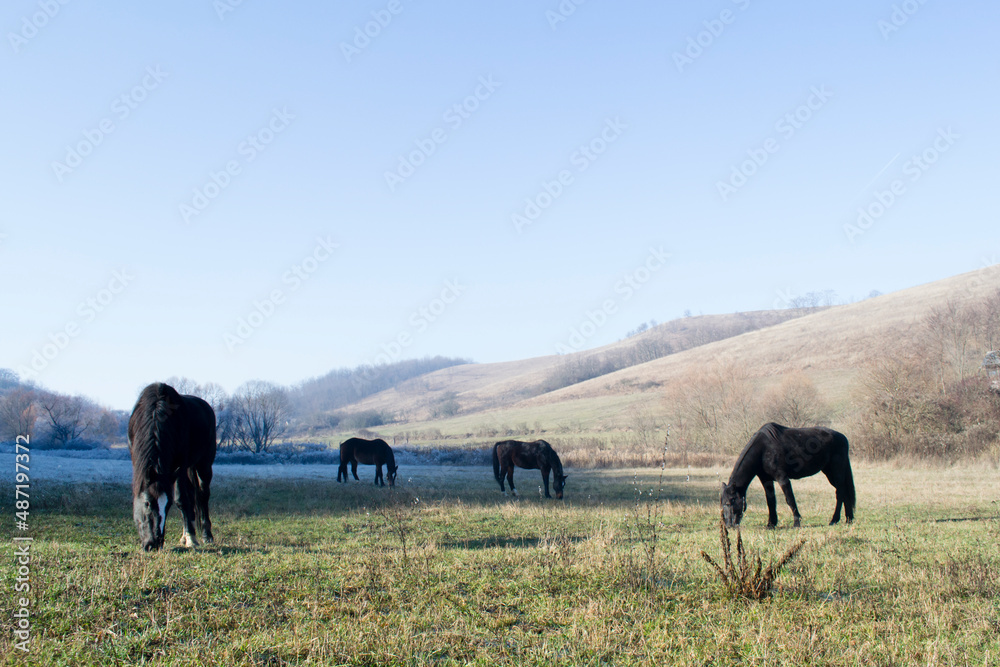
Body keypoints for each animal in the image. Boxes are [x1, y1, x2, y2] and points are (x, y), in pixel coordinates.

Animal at [127, 382, 216, 551]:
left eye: (167, 506)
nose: (154, 544)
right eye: (147, 503)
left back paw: (205, 535)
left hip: (204, 464)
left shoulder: (180, 466)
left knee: (202, 495)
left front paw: (191, 538)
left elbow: (181, 499)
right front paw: (188, 536)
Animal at [720, 422, 855, 529]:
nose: (729, 525)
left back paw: (834, 520)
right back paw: (849, 519)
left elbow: (790, 499)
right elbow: (771, 501)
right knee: (844, 492)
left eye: (730, 502)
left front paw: (796, 522)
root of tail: (843, 438)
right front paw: (771, 524)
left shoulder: (782, 478)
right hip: (829, 472)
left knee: (840, 493)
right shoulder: (766, 480)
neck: (763, 449)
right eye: (722, 503)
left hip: (836, 471)